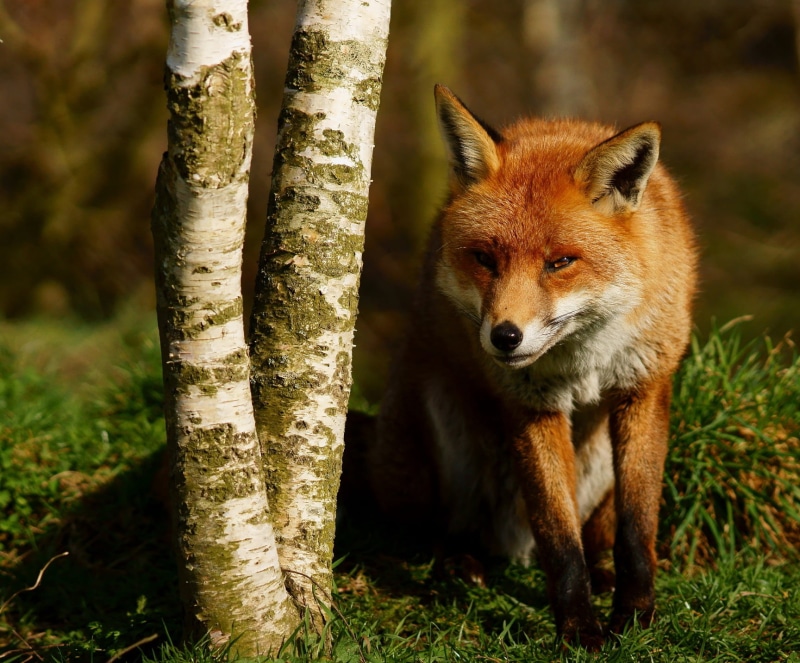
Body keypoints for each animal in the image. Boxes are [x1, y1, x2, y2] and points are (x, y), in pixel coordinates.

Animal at [365, 85, 697, 648]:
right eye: (485, 259)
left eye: (560, 262)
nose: (504, 337)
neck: (587, 356)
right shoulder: (531, 405)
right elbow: (558, 539)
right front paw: (579, 630)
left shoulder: (643, 386)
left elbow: (636, 528)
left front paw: (634, 615)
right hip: (445, 417)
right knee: (446, 526)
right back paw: (459, 561)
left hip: (598, 450)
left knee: (598, 533)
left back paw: (602, 572)